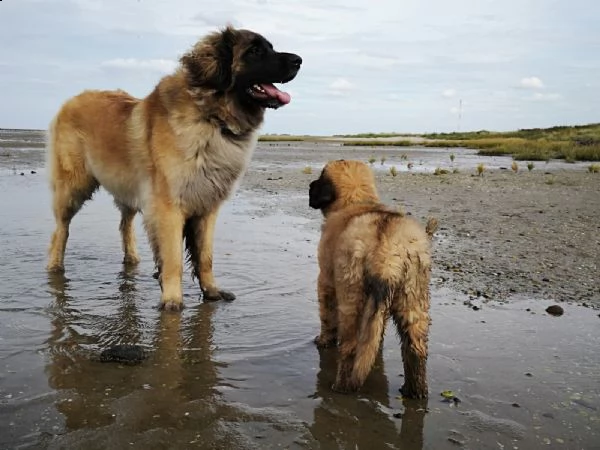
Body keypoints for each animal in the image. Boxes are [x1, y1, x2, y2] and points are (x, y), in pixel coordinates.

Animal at [44, 27, 302, 310]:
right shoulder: (169, 206)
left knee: (124, 224)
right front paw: (172, 302)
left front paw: (211, 291)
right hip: (73, 188)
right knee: (61, 230)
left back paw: (132, 259)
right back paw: (55, 267)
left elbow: (205, 256)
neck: (211, 118)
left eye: (270, 47)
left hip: (128, 189)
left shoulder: (207, 205)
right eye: (255, 51)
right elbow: (174, 258)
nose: (299, 60)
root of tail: (71, 100)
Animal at [310, 159, 436, 398]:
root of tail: (386, 251)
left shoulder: (326, 280)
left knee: (350, 346)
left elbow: (326, 317)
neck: (357, 199)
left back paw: (341, 387)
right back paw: (415, 392)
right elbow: (376, 331)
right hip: (414, 294)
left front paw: (322, 341)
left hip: (351, 293)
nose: (310, 186)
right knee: (415, 348)